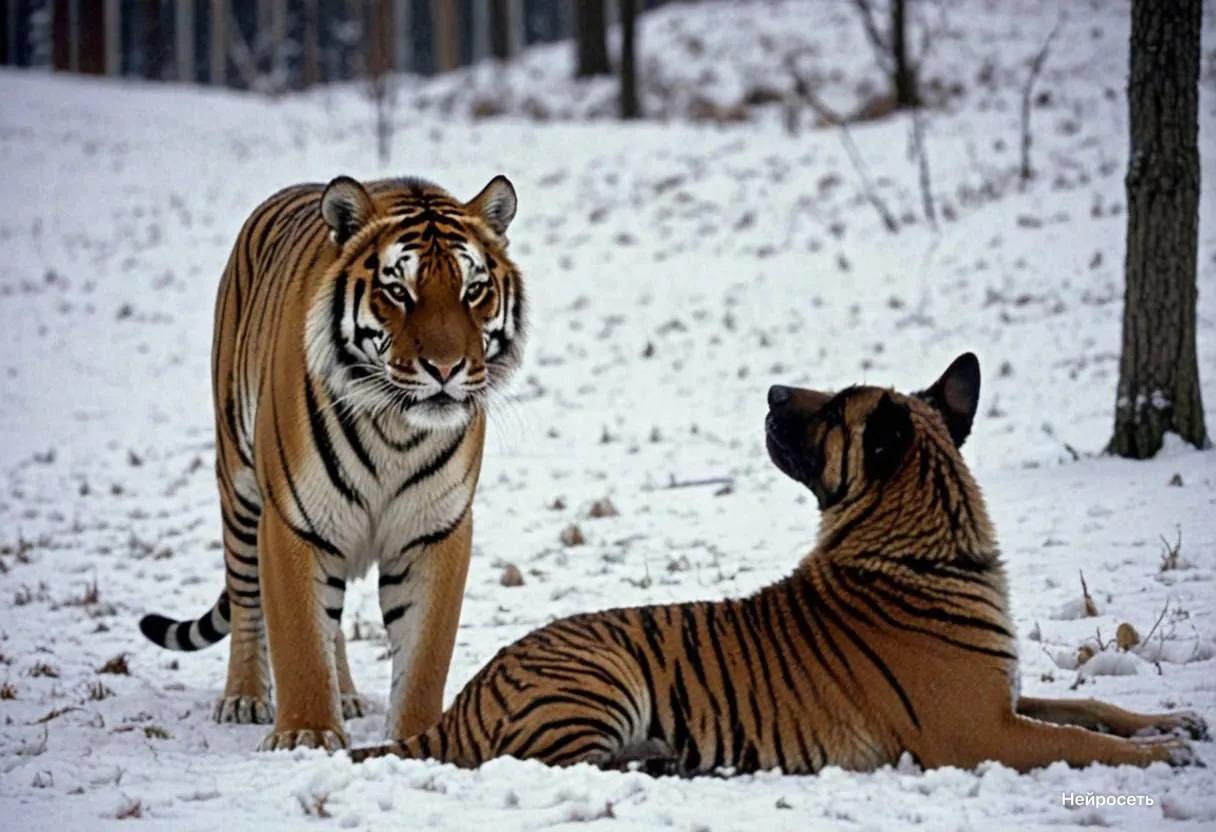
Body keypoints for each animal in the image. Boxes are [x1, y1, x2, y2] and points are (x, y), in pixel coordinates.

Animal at [139, 172, 527, 749]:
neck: (397, 429)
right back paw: (244, 698)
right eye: (398, 290)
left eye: (473, 289)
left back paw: (343, 693)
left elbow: (424, 652)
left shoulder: (435, 529)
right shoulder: (292, 522)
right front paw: (306, 733)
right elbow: (299, 634)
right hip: (240, 486)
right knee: (248, 597)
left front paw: (416, 735)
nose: (446, 368)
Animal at [352, 355, 1206, 768]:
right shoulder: (977, 730)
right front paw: (1164, 753)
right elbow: (1083, 743)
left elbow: (1094, 711)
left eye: (833, 410)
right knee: (571, 765)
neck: (932, 549)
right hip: (602, 676)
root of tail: (464, 700)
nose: (770, 389)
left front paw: (1172, 722)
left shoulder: (1003, 700)